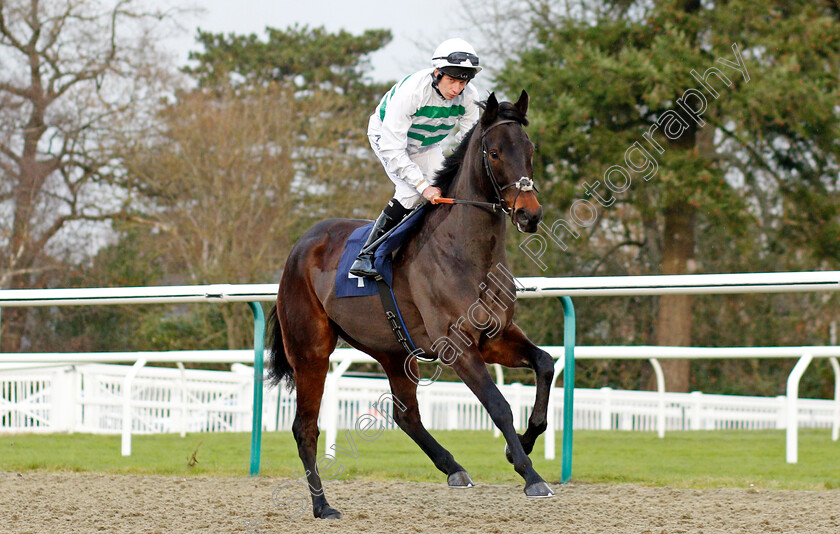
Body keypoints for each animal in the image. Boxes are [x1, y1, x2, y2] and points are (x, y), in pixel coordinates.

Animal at [270, 90, 556, 520]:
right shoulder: (457, 346)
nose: (529, 213)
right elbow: (498, 404)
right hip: (310, 351)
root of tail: (300, 246)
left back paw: (453, 468)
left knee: (406, 415)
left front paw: (520, 443)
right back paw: (323, 506)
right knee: (305, 427)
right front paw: (530, 473)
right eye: (494, 153)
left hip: (391, 349)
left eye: (530, 149)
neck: (466, 252)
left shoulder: (496, 336)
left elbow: (545, 364)